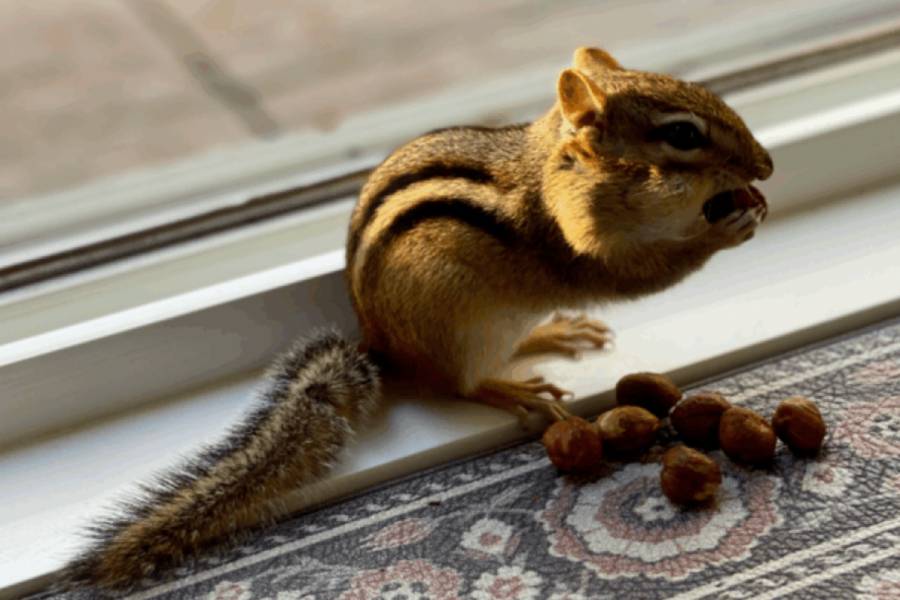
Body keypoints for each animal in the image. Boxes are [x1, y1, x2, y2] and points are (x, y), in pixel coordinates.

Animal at [65, 47, 772, 590]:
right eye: (683, 135)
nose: (765, 165)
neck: (562, 170)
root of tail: (380, 347)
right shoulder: (583, 242)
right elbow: (639, 275)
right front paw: (726, 229)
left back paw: (551, 330)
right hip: (465, 330)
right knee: (459, 384)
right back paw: (514, 389)